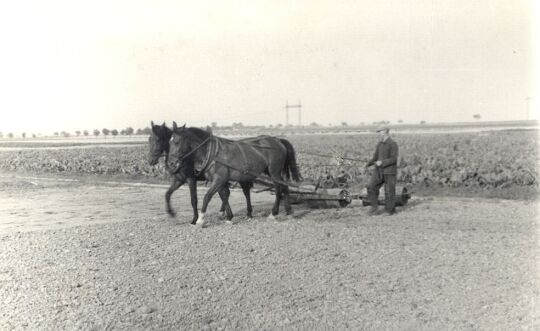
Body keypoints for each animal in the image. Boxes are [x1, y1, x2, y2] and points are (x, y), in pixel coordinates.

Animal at [169, 122, 302, 228]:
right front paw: (229, 217)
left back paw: (273, 213)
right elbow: (224, 196)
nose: (171, 163)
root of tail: (278, 140)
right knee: (284, 186)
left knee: (279, 189)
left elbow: (207, 197)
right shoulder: (220, 181)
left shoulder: (218, 179)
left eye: (177, 142)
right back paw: (289, 212)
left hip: (274, 171)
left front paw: (200, 220)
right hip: (272, 172)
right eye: (169, 142)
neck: (212, 153)